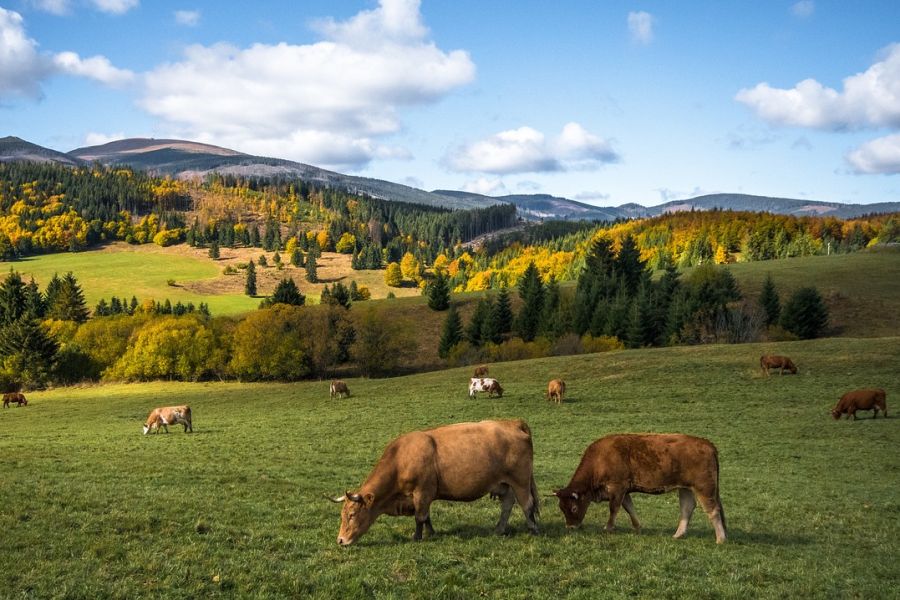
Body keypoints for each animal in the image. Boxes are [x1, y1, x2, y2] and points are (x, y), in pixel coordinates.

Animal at [330, 420, 540, 548]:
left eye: (352, 514)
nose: (340, 540)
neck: (401, 458)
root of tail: (513, 423)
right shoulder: (423, 496)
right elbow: (426, 516)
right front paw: (431, 533)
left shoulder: (422, 492)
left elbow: (419, 517)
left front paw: (417, 537)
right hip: (506, 484)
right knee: (507, 506)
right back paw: (499, 529)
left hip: (520, 481)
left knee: (527, 505)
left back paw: (533, 530)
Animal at [552, 434, 728, 548]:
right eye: (561, 507)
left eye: (574, 508)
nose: (570, 527)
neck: (600, 459)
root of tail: (707, 444)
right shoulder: (624, 491)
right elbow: (629, 508)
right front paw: (637, 527)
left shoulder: (617, 488)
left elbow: (614, 509)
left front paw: (608, 528)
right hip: (685, 488)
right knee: (687, 508)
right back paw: (678, 534)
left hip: (704, 487)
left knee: (713, 510)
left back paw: (720, 538)